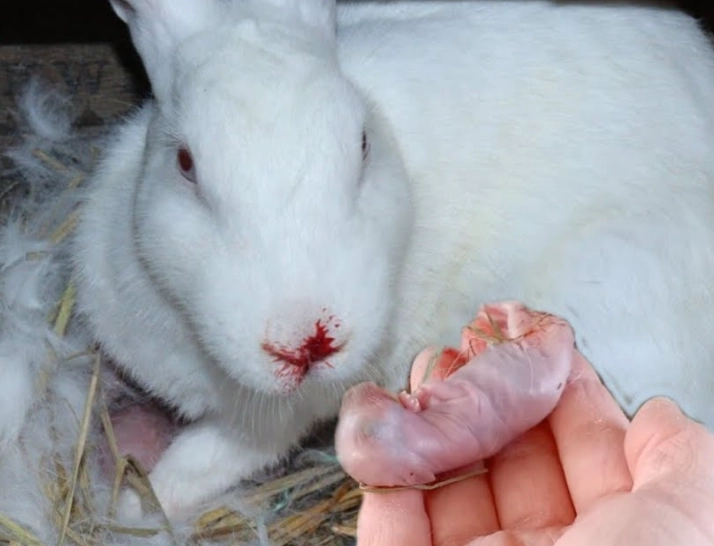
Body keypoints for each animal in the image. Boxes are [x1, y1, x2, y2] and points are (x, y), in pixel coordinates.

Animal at [71, 0, 714, 521]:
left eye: (361, 144)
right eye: (184, 164)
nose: (309, 343)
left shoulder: (267, 425)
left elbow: (200, 463)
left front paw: (132, 507)